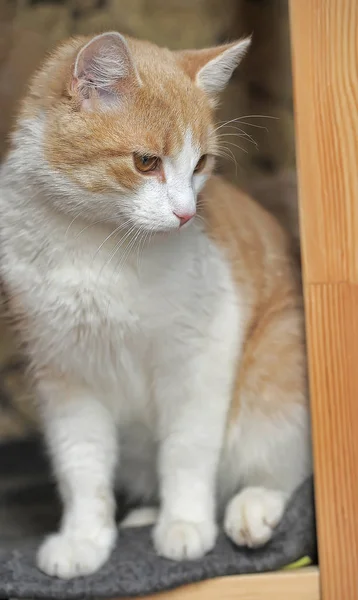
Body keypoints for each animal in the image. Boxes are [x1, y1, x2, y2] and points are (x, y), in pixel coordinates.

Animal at [0, 31, 310, 576]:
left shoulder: (201, 351)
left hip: (277, 368)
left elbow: (187, 449)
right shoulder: (64, 374)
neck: (95, 244)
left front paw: (185, 523)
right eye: (146, 162)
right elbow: (81, 464)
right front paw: (85, 538)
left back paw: (253, 507)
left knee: (284, 468)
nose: (186, 214)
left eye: (200, 164)